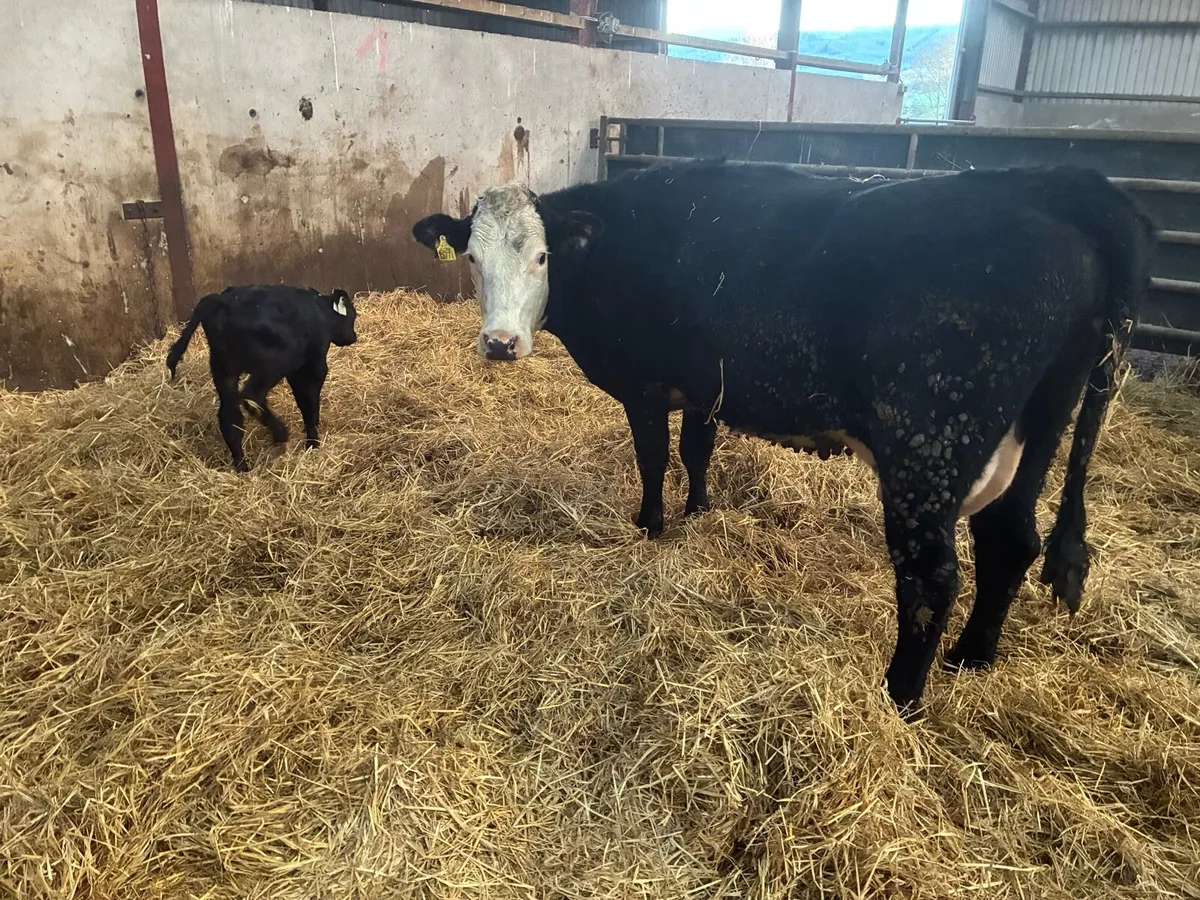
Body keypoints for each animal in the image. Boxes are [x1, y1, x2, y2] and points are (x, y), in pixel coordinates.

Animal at [166, 284, 359, 471]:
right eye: (352, 316)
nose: (353, 337)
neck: (320, 312)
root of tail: (222, 301)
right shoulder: (313, 366)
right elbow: (310, 406)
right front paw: (312, 444)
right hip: (273, 365)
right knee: (252, 396)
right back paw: (280, 433)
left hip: (223, 369)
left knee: (230, 418)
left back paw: (242, 467)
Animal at [412, 160, 1154, 712]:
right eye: (471, 258)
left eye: (542, 257)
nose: (500, 344)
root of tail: (1057, 184)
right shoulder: (706, 386)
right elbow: (696, 453)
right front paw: (698, 513)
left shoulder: (646, 387)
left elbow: (653, 460)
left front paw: (650, 527)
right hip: (1037, 431)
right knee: (1011, 542)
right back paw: (970, 659)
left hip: (928, 447)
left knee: (932, 580)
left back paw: (900, 697)